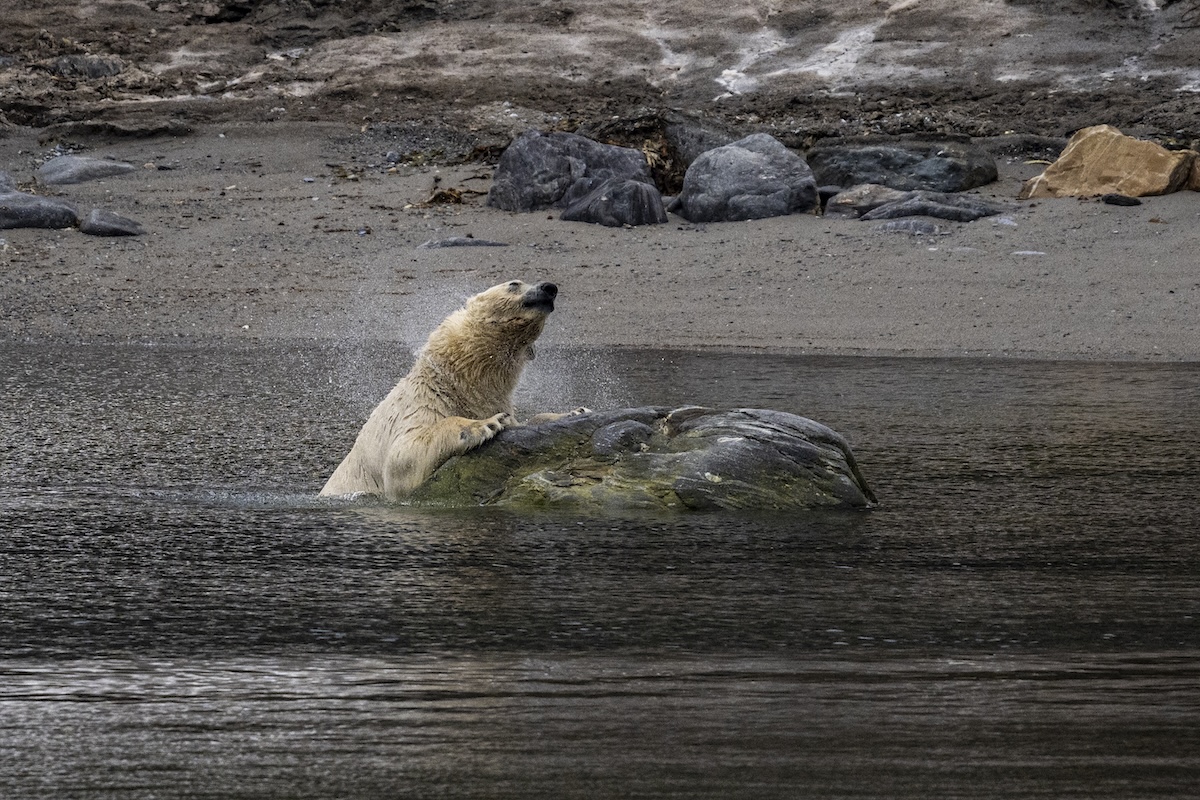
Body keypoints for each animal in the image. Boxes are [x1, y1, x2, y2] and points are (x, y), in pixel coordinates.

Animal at [320, 279, 563, 501]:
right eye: (514, 284)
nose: (549, 288)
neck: (452, 384)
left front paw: (567, 413)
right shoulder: (417, 405)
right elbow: (401, 457)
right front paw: (486, 424)